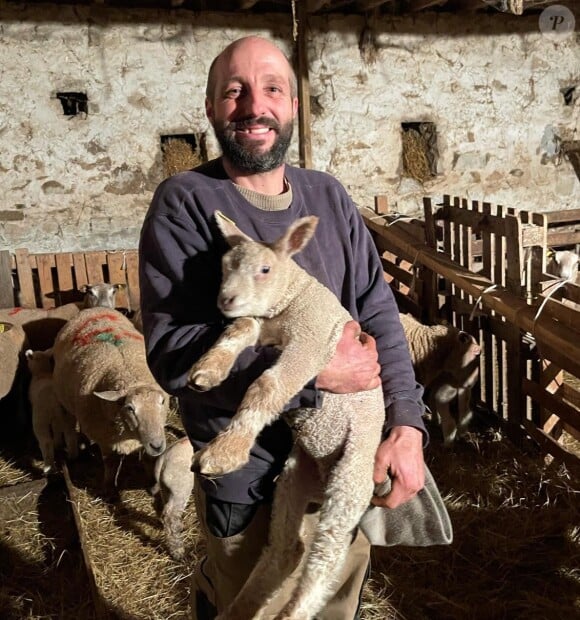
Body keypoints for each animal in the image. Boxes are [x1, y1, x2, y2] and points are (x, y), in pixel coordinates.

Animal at [52, 306, 171, 498]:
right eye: (130, 408)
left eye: (162, 402)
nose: (157, 445)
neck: (128, 372)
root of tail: (92, 309)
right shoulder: (105, 437)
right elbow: (110, 463)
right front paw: (109, 489)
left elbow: (147, 459)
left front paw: (153, 485)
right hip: (67, 404)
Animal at [186, 212, 386, 620]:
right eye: (225, 265)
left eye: (264, 269)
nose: (225, 299)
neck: (292, 299)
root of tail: (323, 481)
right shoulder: (264, 326)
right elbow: (239, 328)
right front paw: (208, 370)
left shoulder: (310, 344)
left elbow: (268, 386)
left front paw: (225, 452)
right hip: (294, 476)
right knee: (287, 549)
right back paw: (241, 609)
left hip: (351, 482)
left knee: (324, 561)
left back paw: (294, 611)